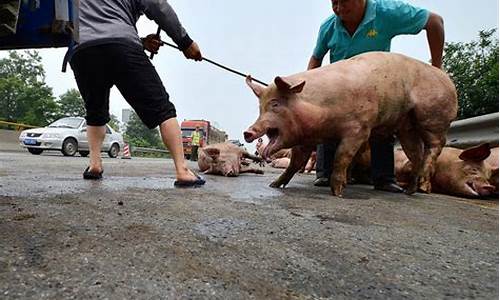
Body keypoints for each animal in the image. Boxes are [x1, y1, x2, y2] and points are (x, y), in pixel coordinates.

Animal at [242, 52, 458, 197]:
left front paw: (337, 192)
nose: (247, 132)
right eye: (260, 107)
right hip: (407, 127)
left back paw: (420, 185)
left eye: (275, 104)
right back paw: (409, 191)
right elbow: (295, 163)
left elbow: (341, 157)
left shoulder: (359, 129)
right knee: (416, 153)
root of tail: (448, 80)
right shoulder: (306, 139)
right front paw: (274, 185)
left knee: (436, 144)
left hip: (433, 117)